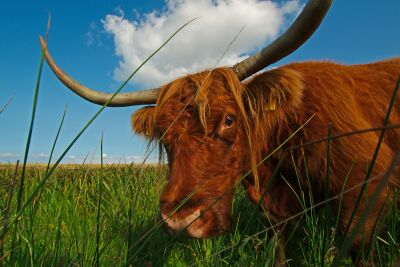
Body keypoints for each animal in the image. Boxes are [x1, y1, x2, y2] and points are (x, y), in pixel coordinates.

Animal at [39, 0, 398, 264]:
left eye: (228, 119)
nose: (180, 220)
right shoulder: (278, 211)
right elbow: (279, 248)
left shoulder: (367, 182)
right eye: (164, 135)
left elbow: (356, 245)